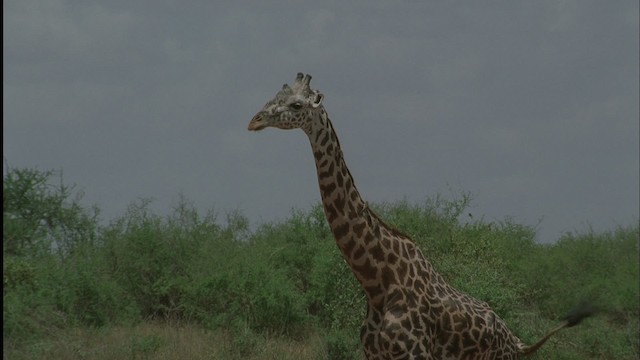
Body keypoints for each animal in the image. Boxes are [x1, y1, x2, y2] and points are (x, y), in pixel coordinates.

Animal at [248, 71, 592, 358]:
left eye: (295, 104)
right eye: (274, 96)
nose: (255, 120)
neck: (377, 284)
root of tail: (516, 341)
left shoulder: (414, 353)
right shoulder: (375, 354)